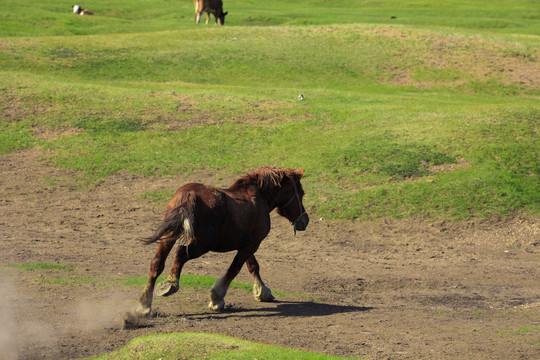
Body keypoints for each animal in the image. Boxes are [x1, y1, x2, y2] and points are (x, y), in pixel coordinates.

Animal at [137, 166, 310, 316]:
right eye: (301, 193)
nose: (305, 220)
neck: (259, 198)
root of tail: (188, 194)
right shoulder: (252, 244)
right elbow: (235, 269)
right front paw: (216, 298)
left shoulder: (247, 244)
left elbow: (253, 266)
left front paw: (263, 292)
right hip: (200, 245)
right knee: (180, 254)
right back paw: (171, 284)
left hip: (169, 236)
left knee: (157, 263)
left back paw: (144, 305)